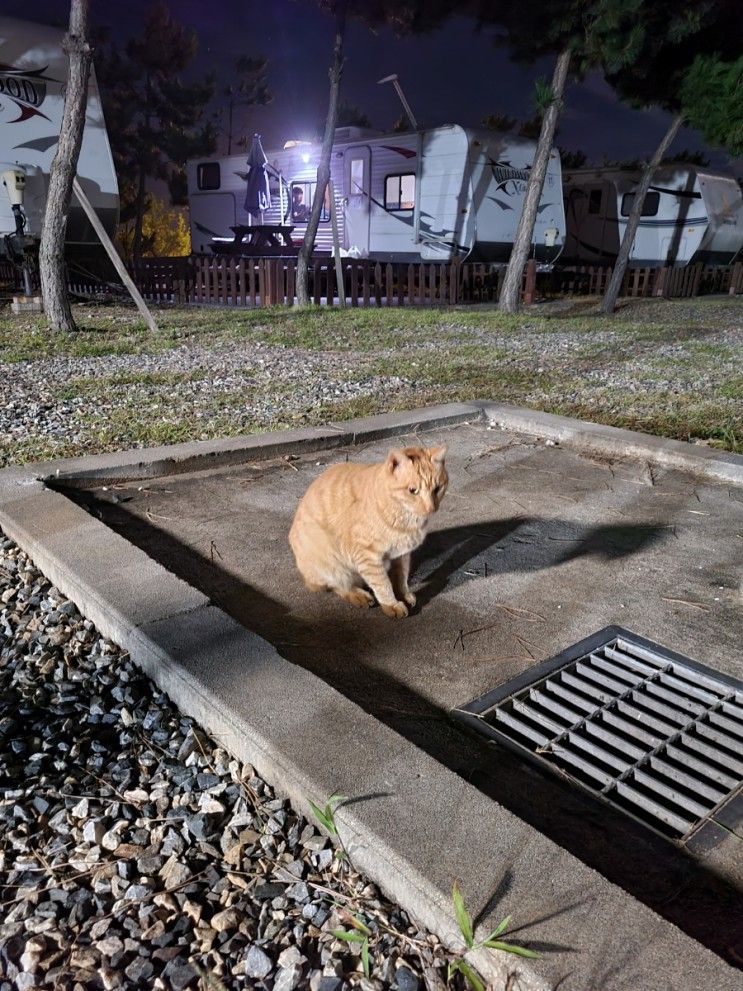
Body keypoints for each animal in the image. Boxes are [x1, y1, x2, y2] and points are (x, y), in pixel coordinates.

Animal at [290, 450, 448, 620]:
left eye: (437, 488)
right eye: (413, 490)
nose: (431, 508)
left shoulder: (402, 554)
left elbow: (401, 577)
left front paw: (403, 594)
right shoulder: (367, 556)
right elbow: (383, 584)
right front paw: (391, 604)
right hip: (331, 559)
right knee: (338, 585)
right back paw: (358, 595)